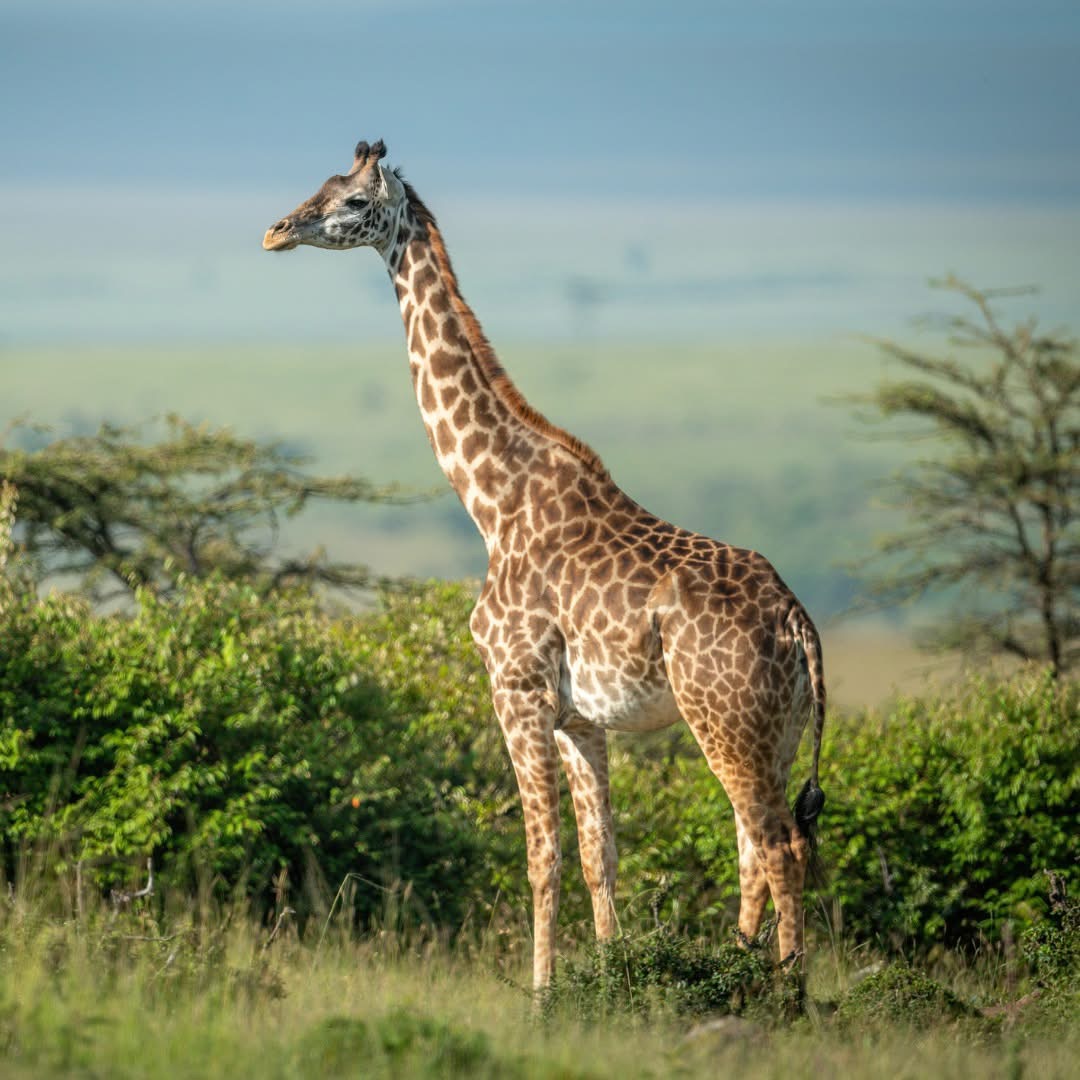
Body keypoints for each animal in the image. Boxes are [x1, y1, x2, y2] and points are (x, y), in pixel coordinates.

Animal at [263, 139, 827, 991]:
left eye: (354, 202)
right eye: (321, 185)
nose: (276, 231)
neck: (492, 501)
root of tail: (799, 623)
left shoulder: (516, 691)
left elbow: (540, 857)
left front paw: (542, 994)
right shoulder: (580, 719)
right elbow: (599, 857)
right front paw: (614, 976)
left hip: (724, 718)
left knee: (778, 846)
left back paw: (787, 991)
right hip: (776, 731)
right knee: (755, 848)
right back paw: (740, 969)